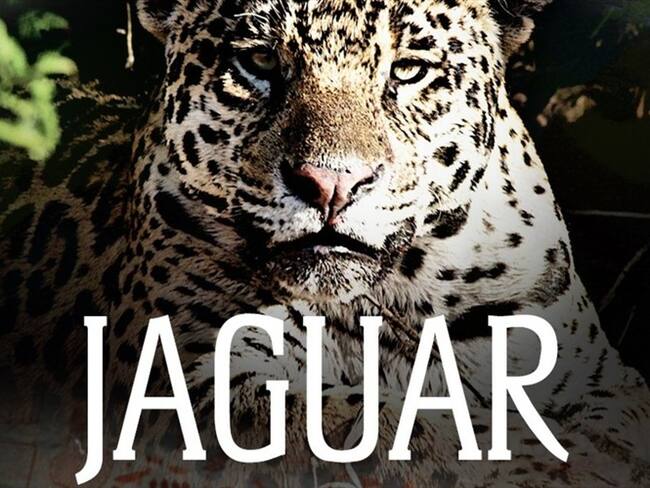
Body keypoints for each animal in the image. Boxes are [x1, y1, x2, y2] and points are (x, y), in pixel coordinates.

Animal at [1, 0, 649, 486]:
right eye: (260, 60)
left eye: (409, 70)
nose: (330, 183)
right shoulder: (187, 374)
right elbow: (349, 420)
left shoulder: (594, 376)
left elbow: (620, 422)